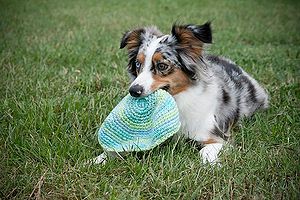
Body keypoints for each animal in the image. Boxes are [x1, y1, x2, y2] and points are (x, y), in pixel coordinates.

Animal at [92, 22, 270, 166]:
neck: (177, 100)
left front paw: (211, 165)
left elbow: (205, 151)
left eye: (162, 66)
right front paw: (98, 160)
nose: (133, 91)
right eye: (137, 64)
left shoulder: (219, 138)